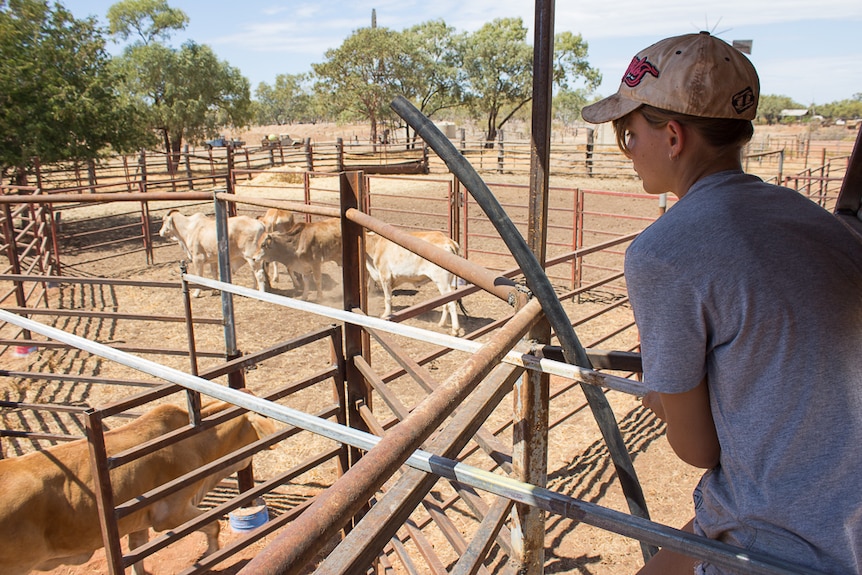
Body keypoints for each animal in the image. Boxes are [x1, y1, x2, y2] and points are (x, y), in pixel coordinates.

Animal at [0, 400, 276, 575]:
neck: (196, 443)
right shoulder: (170, 514)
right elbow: (212, 524)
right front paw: (208, 555)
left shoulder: (138, 521)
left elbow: (137, 551)